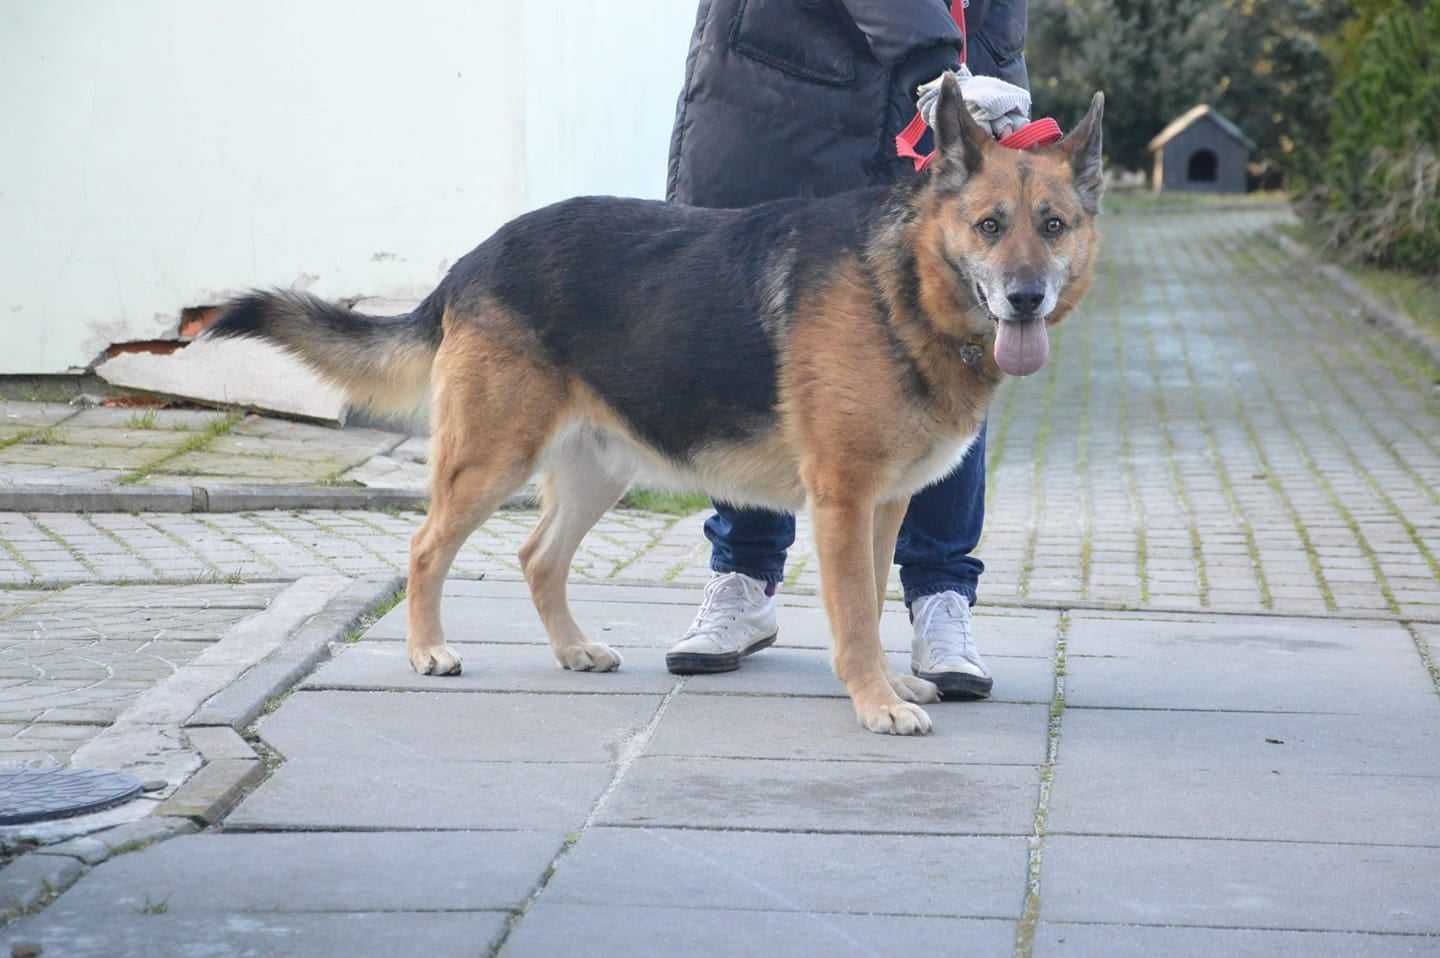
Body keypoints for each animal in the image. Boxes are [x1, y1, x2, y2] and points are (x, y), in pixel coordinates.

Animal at [208, 78, 1100, 734]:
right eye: (989, 226)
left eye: (1053, 225)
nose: (1024, 299)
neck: (905, 287)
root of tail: (473, 258)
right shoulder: (844, 503)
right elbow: (853, 615)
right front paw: (874, 702)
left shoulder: (883, 508)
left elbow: (877, 605)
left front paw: (890, 684)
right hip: (492, 460)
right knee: (426, 548)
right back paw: (429, 652)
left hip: (597, 473)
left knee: (538, 557)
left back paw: (572, 650)